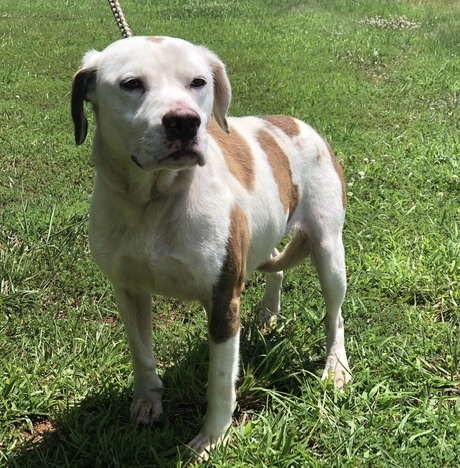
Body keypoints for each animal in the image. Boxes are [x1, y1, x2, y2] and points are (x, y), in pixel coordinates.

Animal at [71, 36, 352, 460]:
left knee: (334, 314)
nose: (184, 121)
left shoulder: (223, 298)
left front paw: (213, 437)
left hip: (328, 248)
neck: (155, 201)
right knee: (275, 264)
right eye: (131, 84)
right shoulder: (127, 288)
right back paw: (268, 312)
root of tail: (293, 122)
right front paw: (147, 402)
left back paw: (336, 367)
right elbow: (140, 351)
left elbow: (220, 379)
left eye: (198, 82)